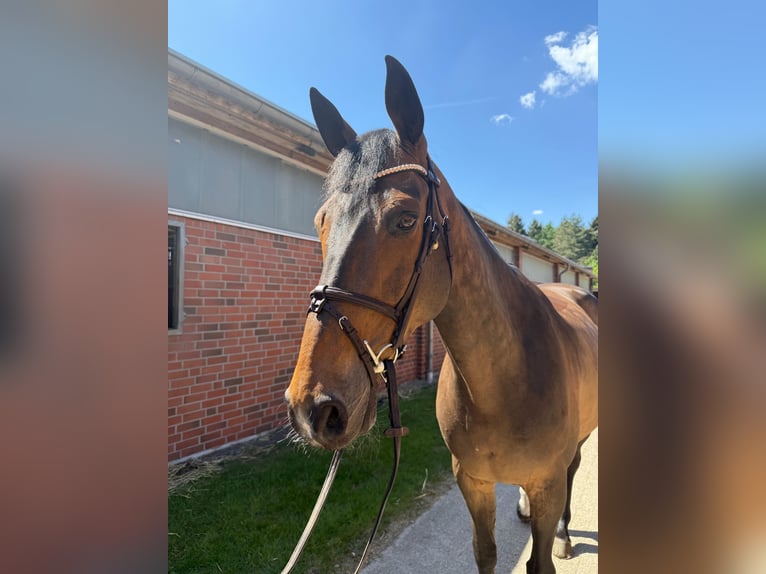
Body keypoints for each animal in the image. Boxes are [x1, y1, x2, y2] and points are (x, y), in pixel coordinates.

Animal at [285, 56, 598, 574]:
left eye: (406, 219)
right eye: (321, 221)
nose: (313, 408)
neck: (505, 380)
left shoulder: (548, 480)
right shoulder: (472, 480)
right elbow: (485, 554)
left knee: (574, 468)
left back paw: (565, 534)